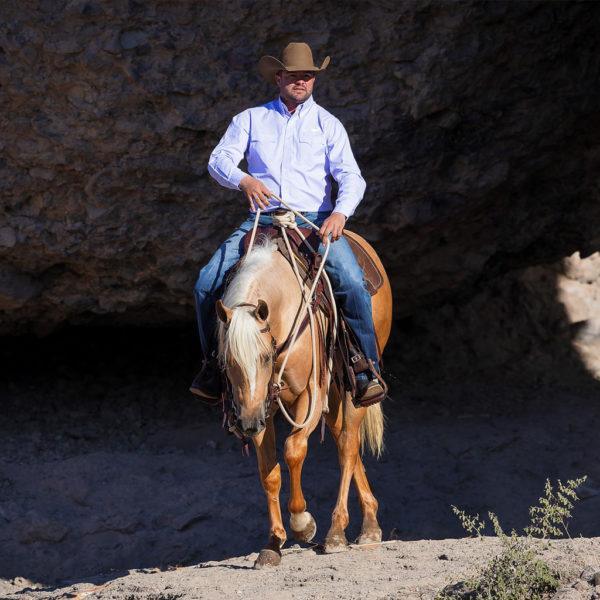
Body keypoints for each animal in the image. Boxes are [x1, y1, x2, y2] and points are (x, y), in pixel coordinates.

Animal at [215, 228, 392, 568]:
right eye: (226, 361)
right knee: (341, 437)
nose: (245, 424)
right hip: (332, 390)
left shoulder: (310, 396)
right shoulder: (260, 407)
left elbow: (294, 450)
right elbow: (268, 471)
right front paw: (273, 543)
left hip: (353, 387)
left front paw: (302, 524)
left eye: (265, 357)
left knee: (349, 443)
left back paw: (336, 532)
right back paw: (370, 525)